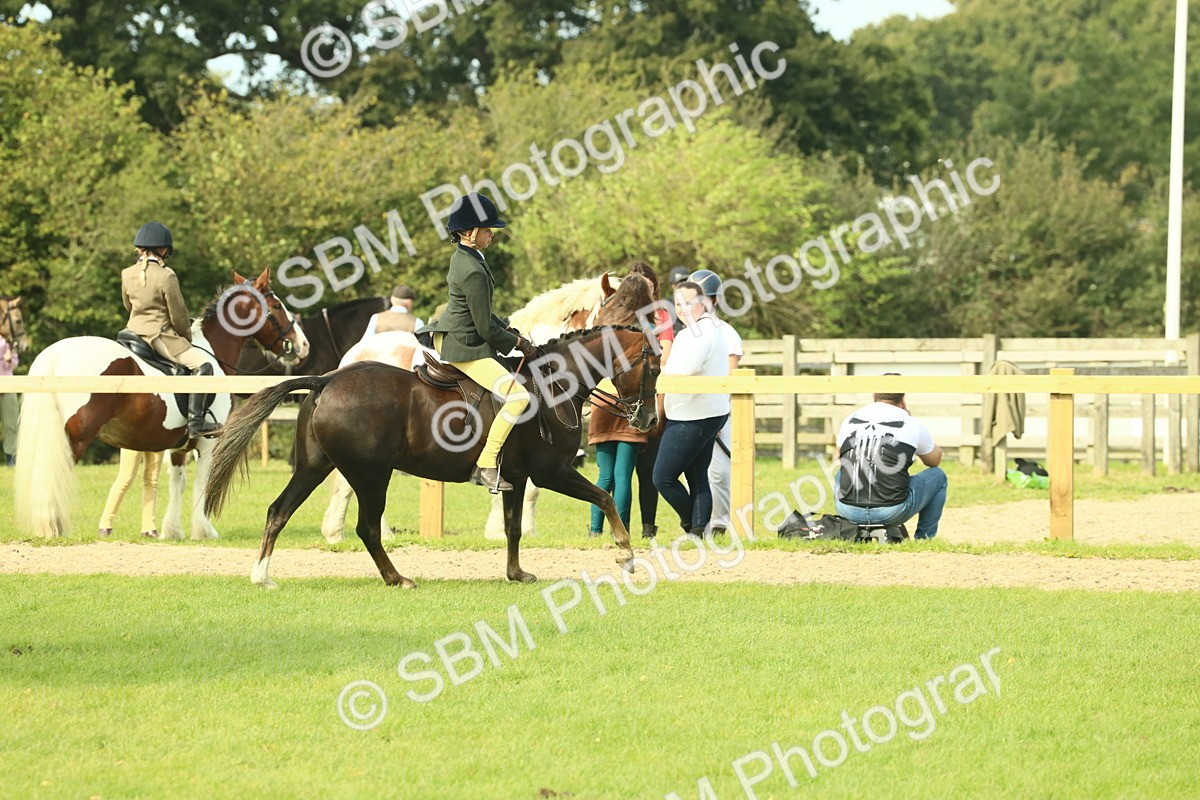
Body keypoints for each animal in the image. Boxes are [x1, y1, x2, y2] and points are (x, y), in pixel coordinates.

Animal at [14, 269, 311, 540]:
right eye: (276, 306)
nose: (303, 345)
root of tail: (56, 353)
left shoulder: (179, 447)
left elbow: (177, 483)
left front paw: (173, 530)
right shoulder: (209, 442)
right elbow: (202, 481)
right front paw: (203, 530)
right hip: (74, 440)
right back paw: (52, 527)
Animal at [202, 324, 660, 588]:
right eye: (653, 368)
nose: (650, 419)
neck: (554, 386)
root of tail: (327, 379)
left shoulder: (516, 477)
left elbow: (512, 529)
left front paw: (516, 574)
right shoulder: (553, 472)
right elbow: (605, 498)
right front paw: (626, 554)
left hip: (315, 467)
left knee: (278, 511)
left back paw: (262, 576)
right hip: (371, 475)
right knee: (367, 528)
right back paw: (397, 578)